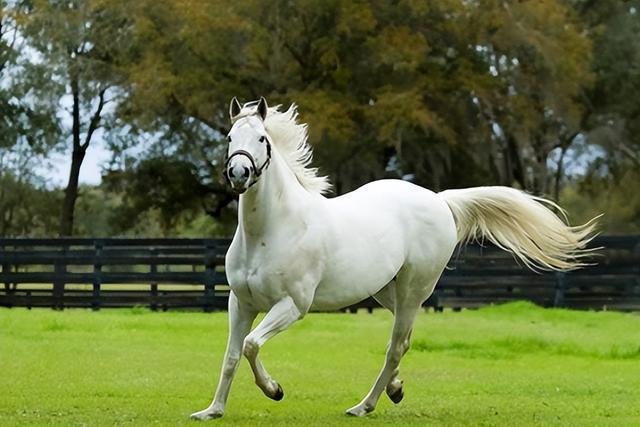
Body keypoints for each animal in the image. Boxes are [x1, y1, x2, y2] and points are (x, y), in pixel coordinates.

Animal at [190, 98, 596, 422]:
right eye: (230, 138)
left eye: (262, 139)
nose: (238, 173)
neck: (270, 231)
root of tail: (439, 200)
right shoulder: (240, 303)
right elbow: (232, 355)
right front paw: (212, 411)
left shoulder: (292, 305)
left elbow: (250, 345)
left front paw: (274, 390)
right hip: (389, 291)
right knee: (405, 340)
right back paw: (395, 389)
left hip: (414, 289)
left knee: (396, 344)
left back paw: (364, 406)